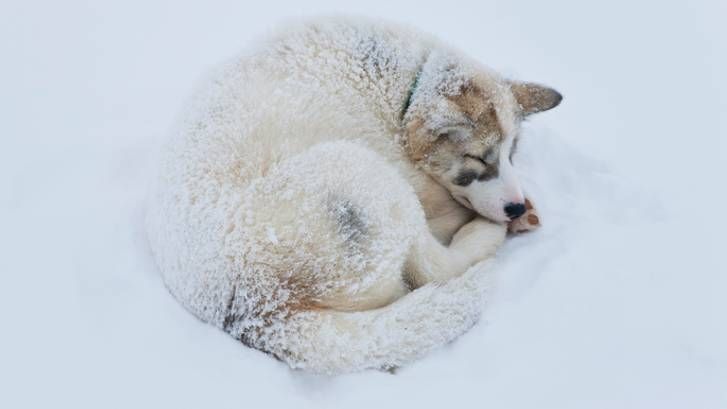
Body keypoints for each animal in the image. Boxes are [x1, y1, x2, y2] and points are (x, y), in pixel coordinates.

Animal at [145, 15, 560, 372]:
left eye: (512, 153)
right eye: (477, 159)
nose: (514, 206)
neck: (402, 92)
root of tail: (259, 313)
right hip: (365, 174)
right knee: (436, 267)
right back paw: (488, 232)